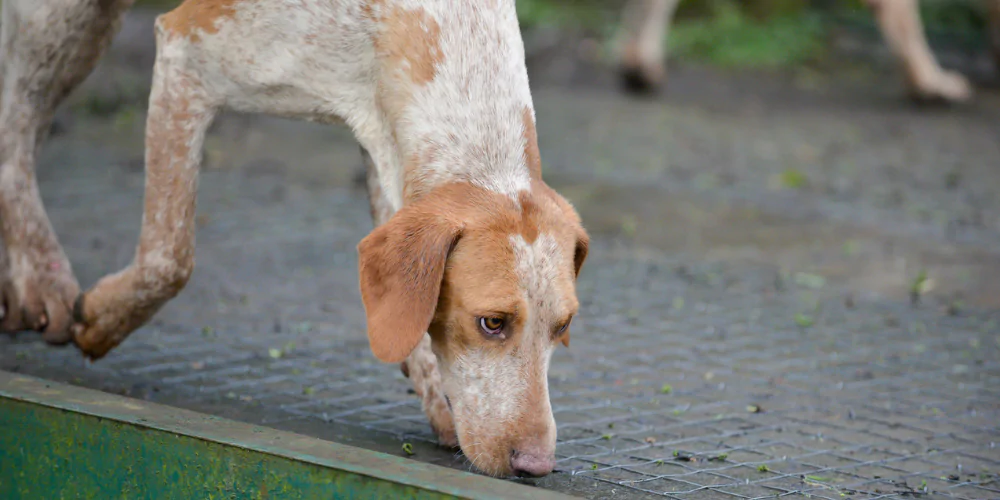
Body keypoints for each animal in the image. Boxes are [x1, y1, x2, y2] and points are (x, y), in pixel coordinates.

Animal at [0, 0, 588, 476]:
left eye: (562, 328)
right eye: (492, 323)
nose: (536, 467)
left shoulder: (386, 142)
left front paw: (432, 386)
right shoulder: (185, 54)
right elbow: (170, 258)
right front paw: (104, 321)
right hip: (69, 20)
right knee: (16, 122)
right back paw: (44, 280)